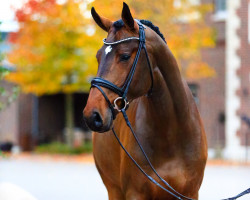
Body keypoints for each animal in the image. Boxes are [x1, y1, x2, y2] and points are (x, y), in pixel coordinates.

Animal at [83, 2, 208, 199]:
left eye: (125, 56)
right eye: (98, 56)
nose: (92, 115)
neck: (172, 133)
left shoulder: (190, 193)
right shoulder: (135, 193)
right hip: (113, 188)